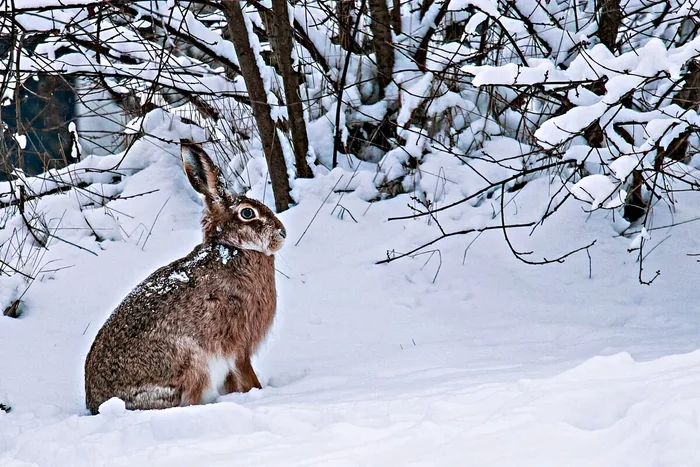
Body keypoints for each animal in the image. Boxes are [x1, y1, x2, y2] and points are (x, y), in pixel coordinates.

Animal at [84, 141, 286, 415]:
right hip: (192, 363)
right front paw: (258, 391)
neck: (231, 248)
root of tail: (99, 406)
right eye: (247, 213)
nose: (282, 233)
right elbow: (245, 374)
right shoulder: (238, 345)